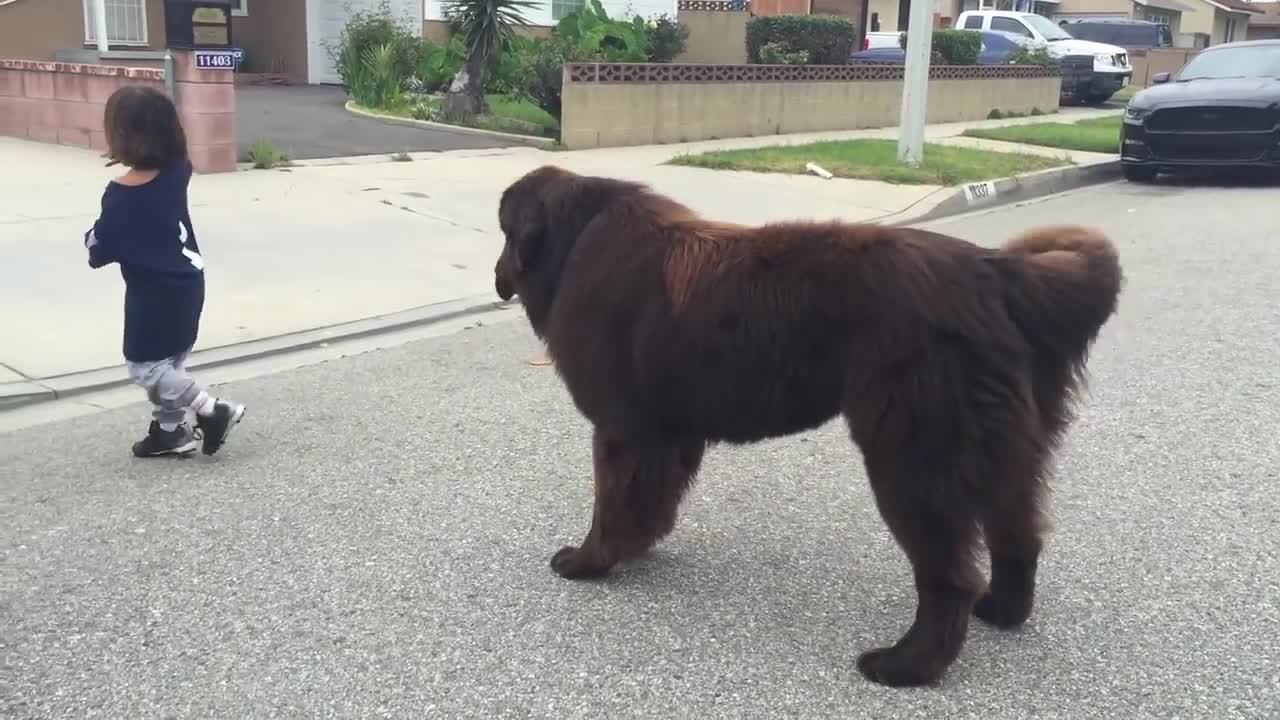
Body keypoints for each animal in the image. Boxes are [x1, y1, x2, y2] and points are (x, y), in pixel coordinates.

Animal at [488, 162, 1121, 681]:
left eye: (502, 230)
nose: (498, 275)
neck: (575, 243)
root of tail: (998, 273)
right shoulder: (667, 433)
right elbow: (649, 499)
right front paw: (633, 546)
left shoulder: (621, 426)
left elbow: (609, 498)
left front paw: (588, 562)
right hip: (1003, 447)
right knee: (1019, 533)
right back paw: (1001, 612)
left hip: (914, 453)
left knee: (949, 575)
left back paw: (906, 666)